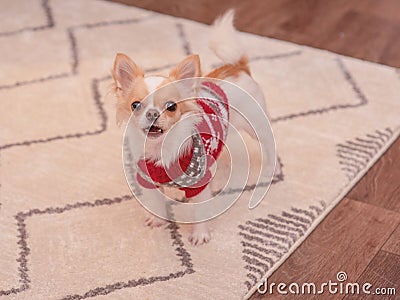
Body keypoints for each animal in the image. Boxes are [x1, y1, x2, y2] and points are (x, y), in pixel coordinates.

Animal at [112, 10, 282, 245]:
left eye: (171, 107)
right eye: (135, 105)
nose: (152, 114)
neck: (162, 148)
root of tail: (237, 67)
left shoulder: (198, 185)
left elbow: (200, 212)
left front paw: (200, 235)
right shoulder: (150, 181)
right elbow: (156, 202)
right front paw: (157, 220)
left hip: (256, 126)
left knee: (269, 143)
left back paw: (272, 169)